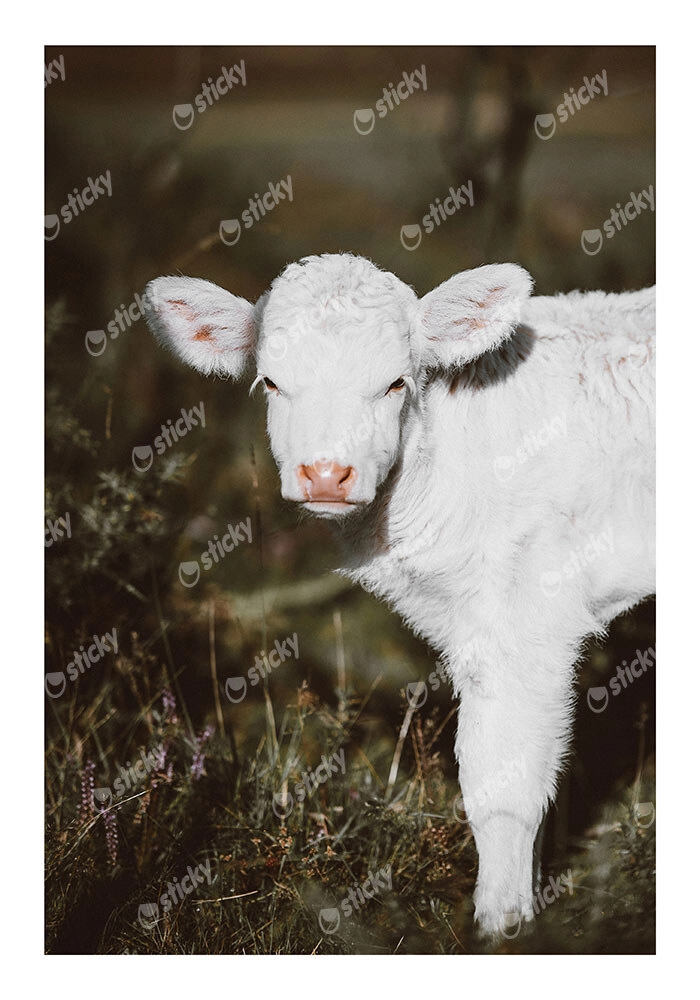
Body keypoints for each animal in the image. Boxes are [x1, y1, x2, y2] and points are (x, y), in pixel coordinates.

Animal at [144, 253, 655, 937]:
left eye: (394, 384)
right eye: (272, 382)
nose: (326, 474)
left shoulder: (526, 621)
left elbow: (503, 785)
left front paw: (501, 930)